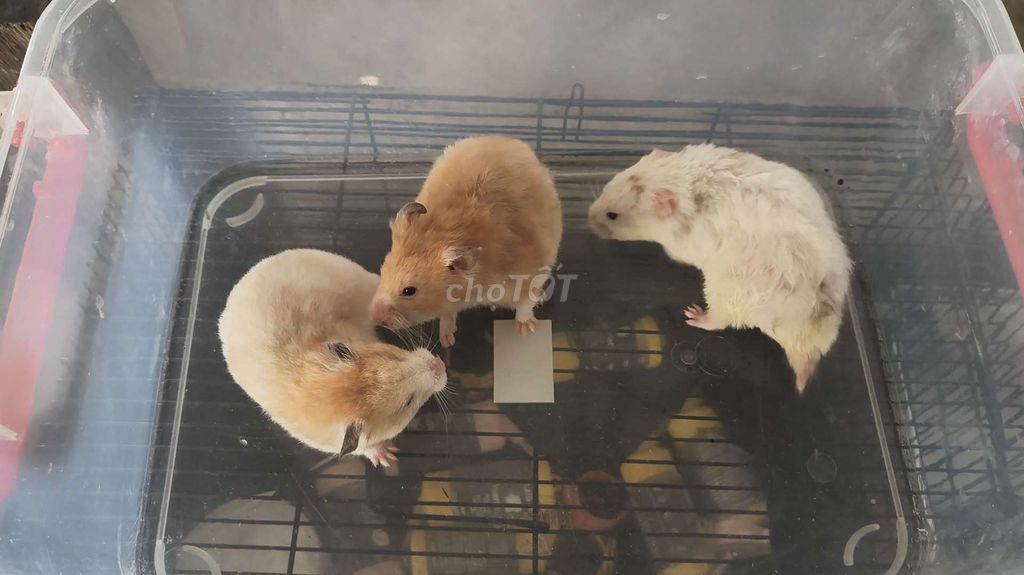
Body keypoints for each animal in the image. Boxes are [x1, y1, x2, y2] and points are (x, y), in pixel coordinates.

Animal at [219, 249, 447, 467]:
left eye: (392, 355)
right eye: (408, 402)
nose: (441, 364)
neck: (315, 389)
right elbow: (364, 448)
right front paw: (387, 457)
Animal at [370, 136, 562, 347]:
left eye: (409, 290)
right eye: (382, 270)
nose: (373, 317)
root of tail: (512, 140)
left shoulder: (529, 275)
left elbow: (525, 304)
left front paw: (525, 330)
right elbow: (447, 313)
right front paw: (447, 340)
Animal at [588, 144, 851, 393]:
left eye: (613, 215)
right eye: (606, 187)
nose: (588, 219)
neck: (684, 183)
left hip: (724, 294)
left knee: (720, 322)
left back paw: (693, 315)